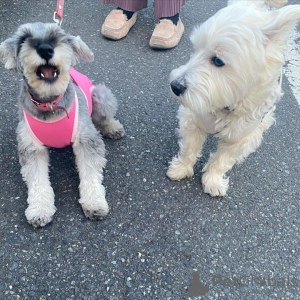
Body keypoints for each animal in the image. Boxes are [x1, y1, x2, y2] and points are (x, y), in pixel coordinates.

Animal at [0, 22, 124, 226]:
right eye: (23, 39)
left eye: (57, 35)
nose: (45, 49)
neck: (50, 104)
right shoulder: (31, 148)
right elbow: (37, 180)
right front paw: (40, 209)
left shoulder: (86, 140)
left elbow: (90, 173)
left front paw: (94, 202)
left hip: (100, 96)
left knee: (103, 118)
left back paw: (112, 128)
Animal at [168, 0, 298, 197]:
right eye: (195, 50)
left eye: (218, 61)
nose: (175, 86)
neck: (226, 107)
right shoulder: (193, 119)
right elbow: (189, 147)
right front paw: (180, 168)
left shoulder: (243, 136)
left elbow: (223, 159)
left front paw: (213, 180)